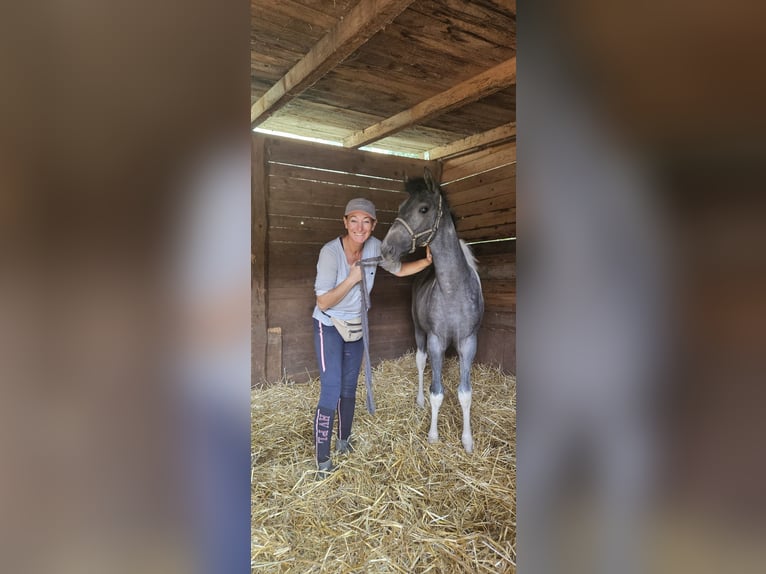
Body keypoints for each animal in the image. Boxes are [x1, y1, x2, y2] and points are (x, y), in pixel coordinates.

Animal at [384, 168, 486, 454]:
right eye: (400, 207)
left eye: (423, 209)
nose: (386, 249)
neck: (453, 290)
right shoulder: (436, 341)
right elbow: (436, 392)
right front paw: (433, 435)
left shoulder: (468, 342)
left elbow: (465, 393)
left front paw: (467, 441)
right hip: (419, 331)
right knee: (421, 363)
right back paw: (419, 401)